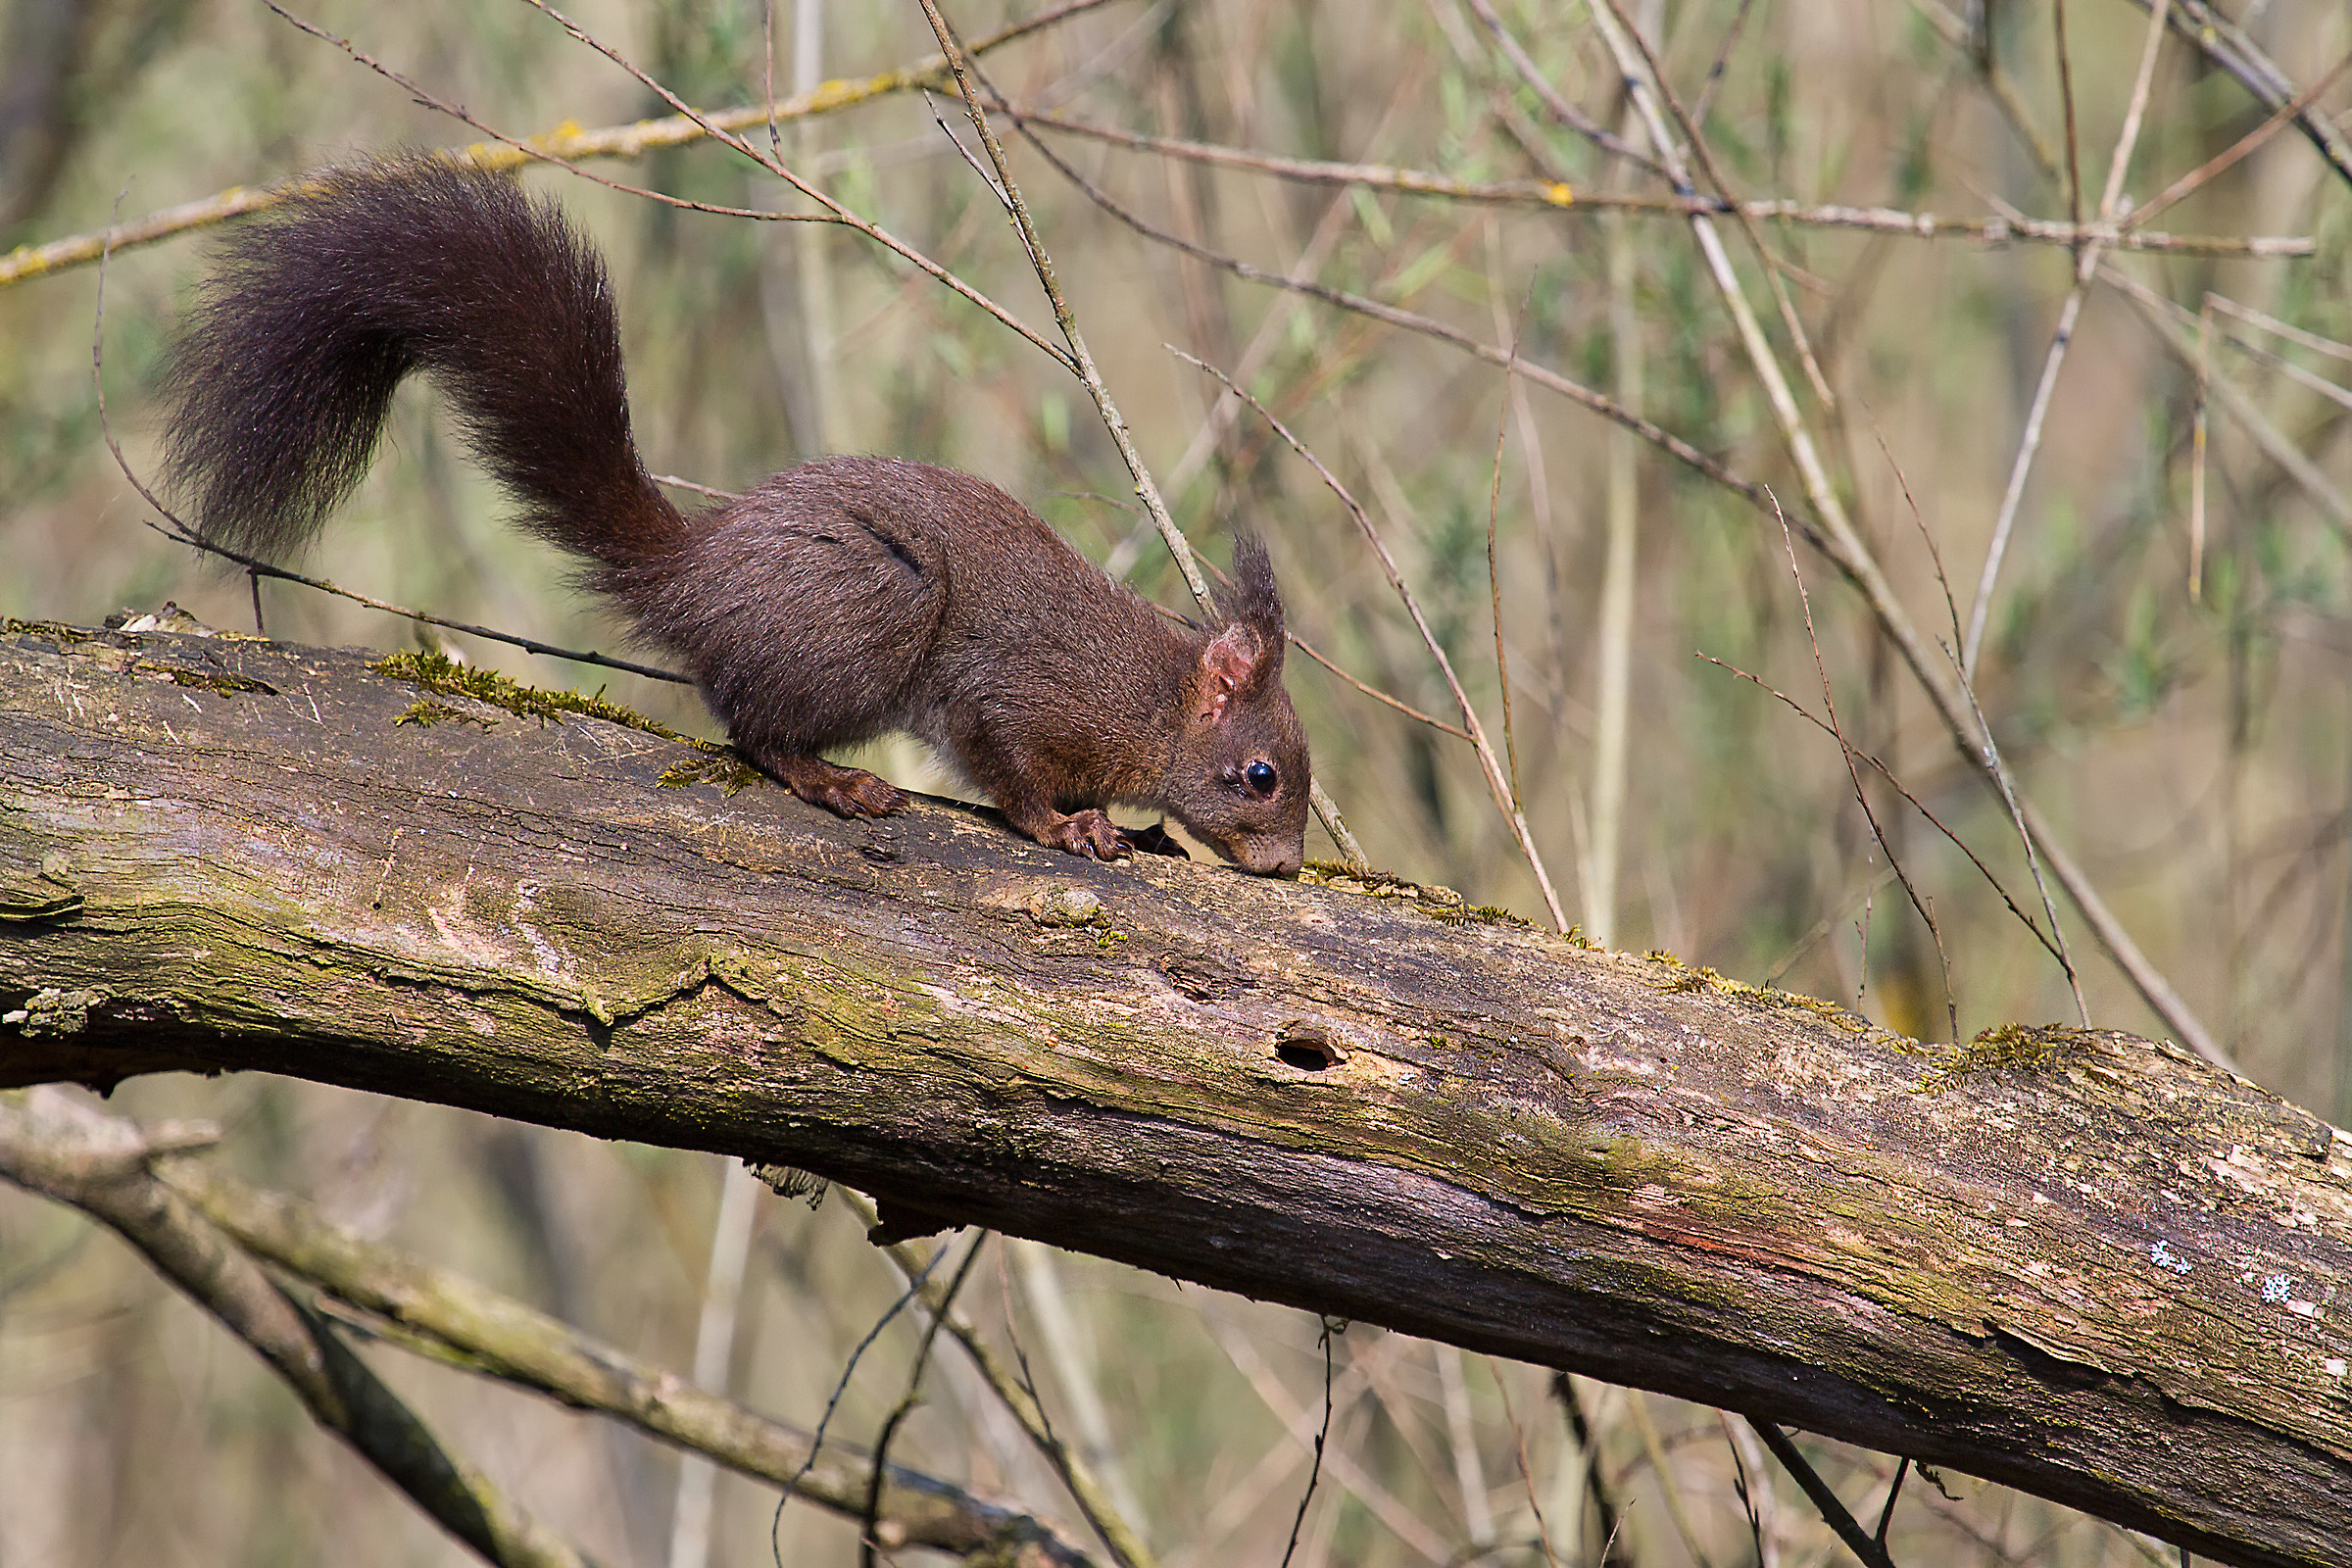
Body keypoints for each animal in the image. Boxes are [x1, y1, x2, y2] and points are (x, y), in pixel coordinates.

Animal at [160, 156, 1310, 875]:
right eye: (1260, 775)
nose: (1292, 867)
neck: (1149, 699)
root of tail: (692, 575)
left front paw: (1143, 830)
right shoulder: (1024, 698)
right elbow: (1009, 773)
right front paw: (1075, 830)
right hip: (873, 607)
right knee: (752, 729)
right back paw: (837, 784)